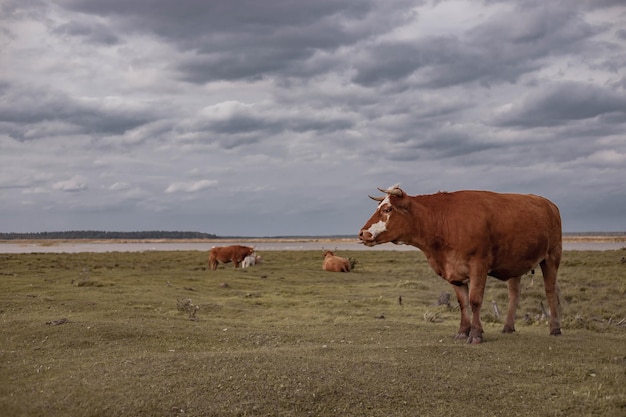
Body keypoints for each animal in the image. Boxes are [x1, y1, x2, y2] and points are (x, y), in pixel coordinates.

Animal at [356, 184, 560, 342]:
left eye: (387, 209)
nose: (362, 233)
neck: (443, 221)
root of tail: (549, 204)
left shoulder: (479, 265)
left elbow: (475, 300)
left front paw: (476, 334)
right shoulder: (453, 272)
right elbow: (463, 303)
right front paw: (463, 332)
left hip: (552, 256)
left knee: (550, 291)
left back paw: (555, 329)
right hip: (515, 264)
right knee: (514, 293)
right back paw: (508, 327)